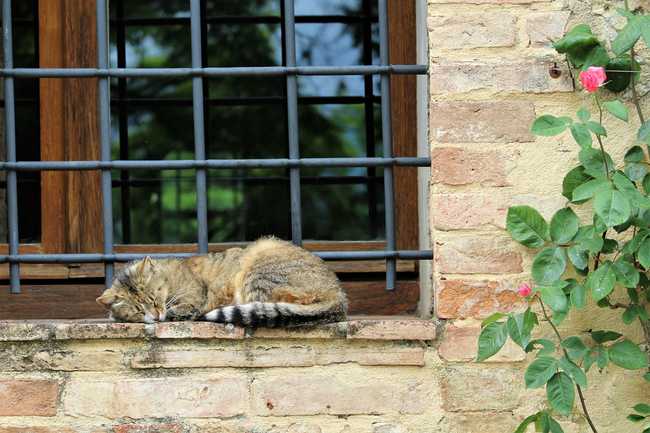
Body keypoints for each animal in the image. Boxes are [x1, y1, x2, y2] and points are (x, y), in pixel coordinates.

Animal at [94, 238, 346, 326]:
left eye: (154, 299)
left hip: (258, 266)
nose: (156, 315)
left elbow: (185, 308)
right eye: (138, 309)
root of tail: (338, 295)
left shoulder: (195, 297)